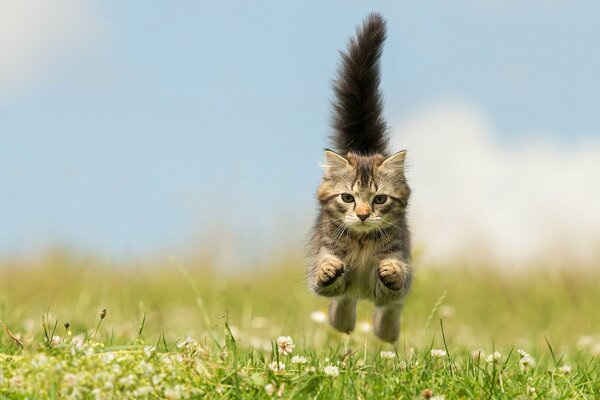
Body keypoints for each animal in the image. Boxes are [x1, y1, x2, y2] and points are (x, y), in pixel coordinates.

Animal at [310, 13, 412, 344]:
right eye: (348, 198)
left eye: (379, 199)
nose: (364, 214)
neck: (362, 242)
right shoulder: (325, 260)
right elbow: (326, 279)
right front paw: (328, 269)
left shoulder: (398, 269)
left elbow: (395, 282)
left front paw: (390, 269)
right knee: (345, 303)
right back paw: (343, 322)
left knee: (390, 310)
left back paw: (387, 333)